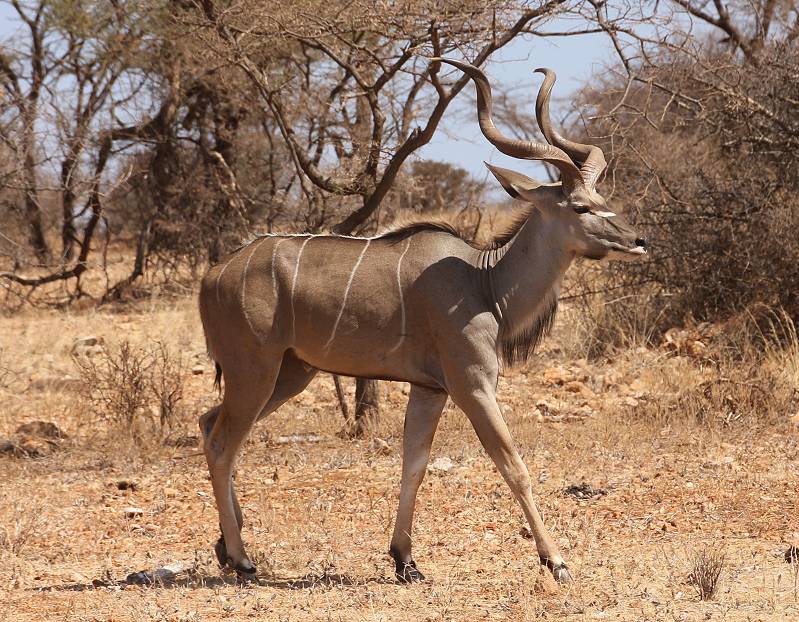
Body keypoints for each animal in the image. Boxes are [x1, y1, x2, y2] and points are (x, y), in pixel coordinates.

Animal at [197, 58, 648, 584]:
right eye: (580, 206)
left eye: (602, 197)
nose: (638, 241)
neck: (484, 282)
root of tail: (212, 275)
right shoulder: (472, 384)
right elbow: (514, 465)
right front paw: (555, 560)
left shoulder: (429, 389)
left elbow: (414, 463)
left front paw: (405, 561)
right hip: (256, 370)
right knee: (223, 442)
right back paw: (242, 558)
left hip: (290, 372)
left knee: (210, 424)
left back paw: (226, 546)